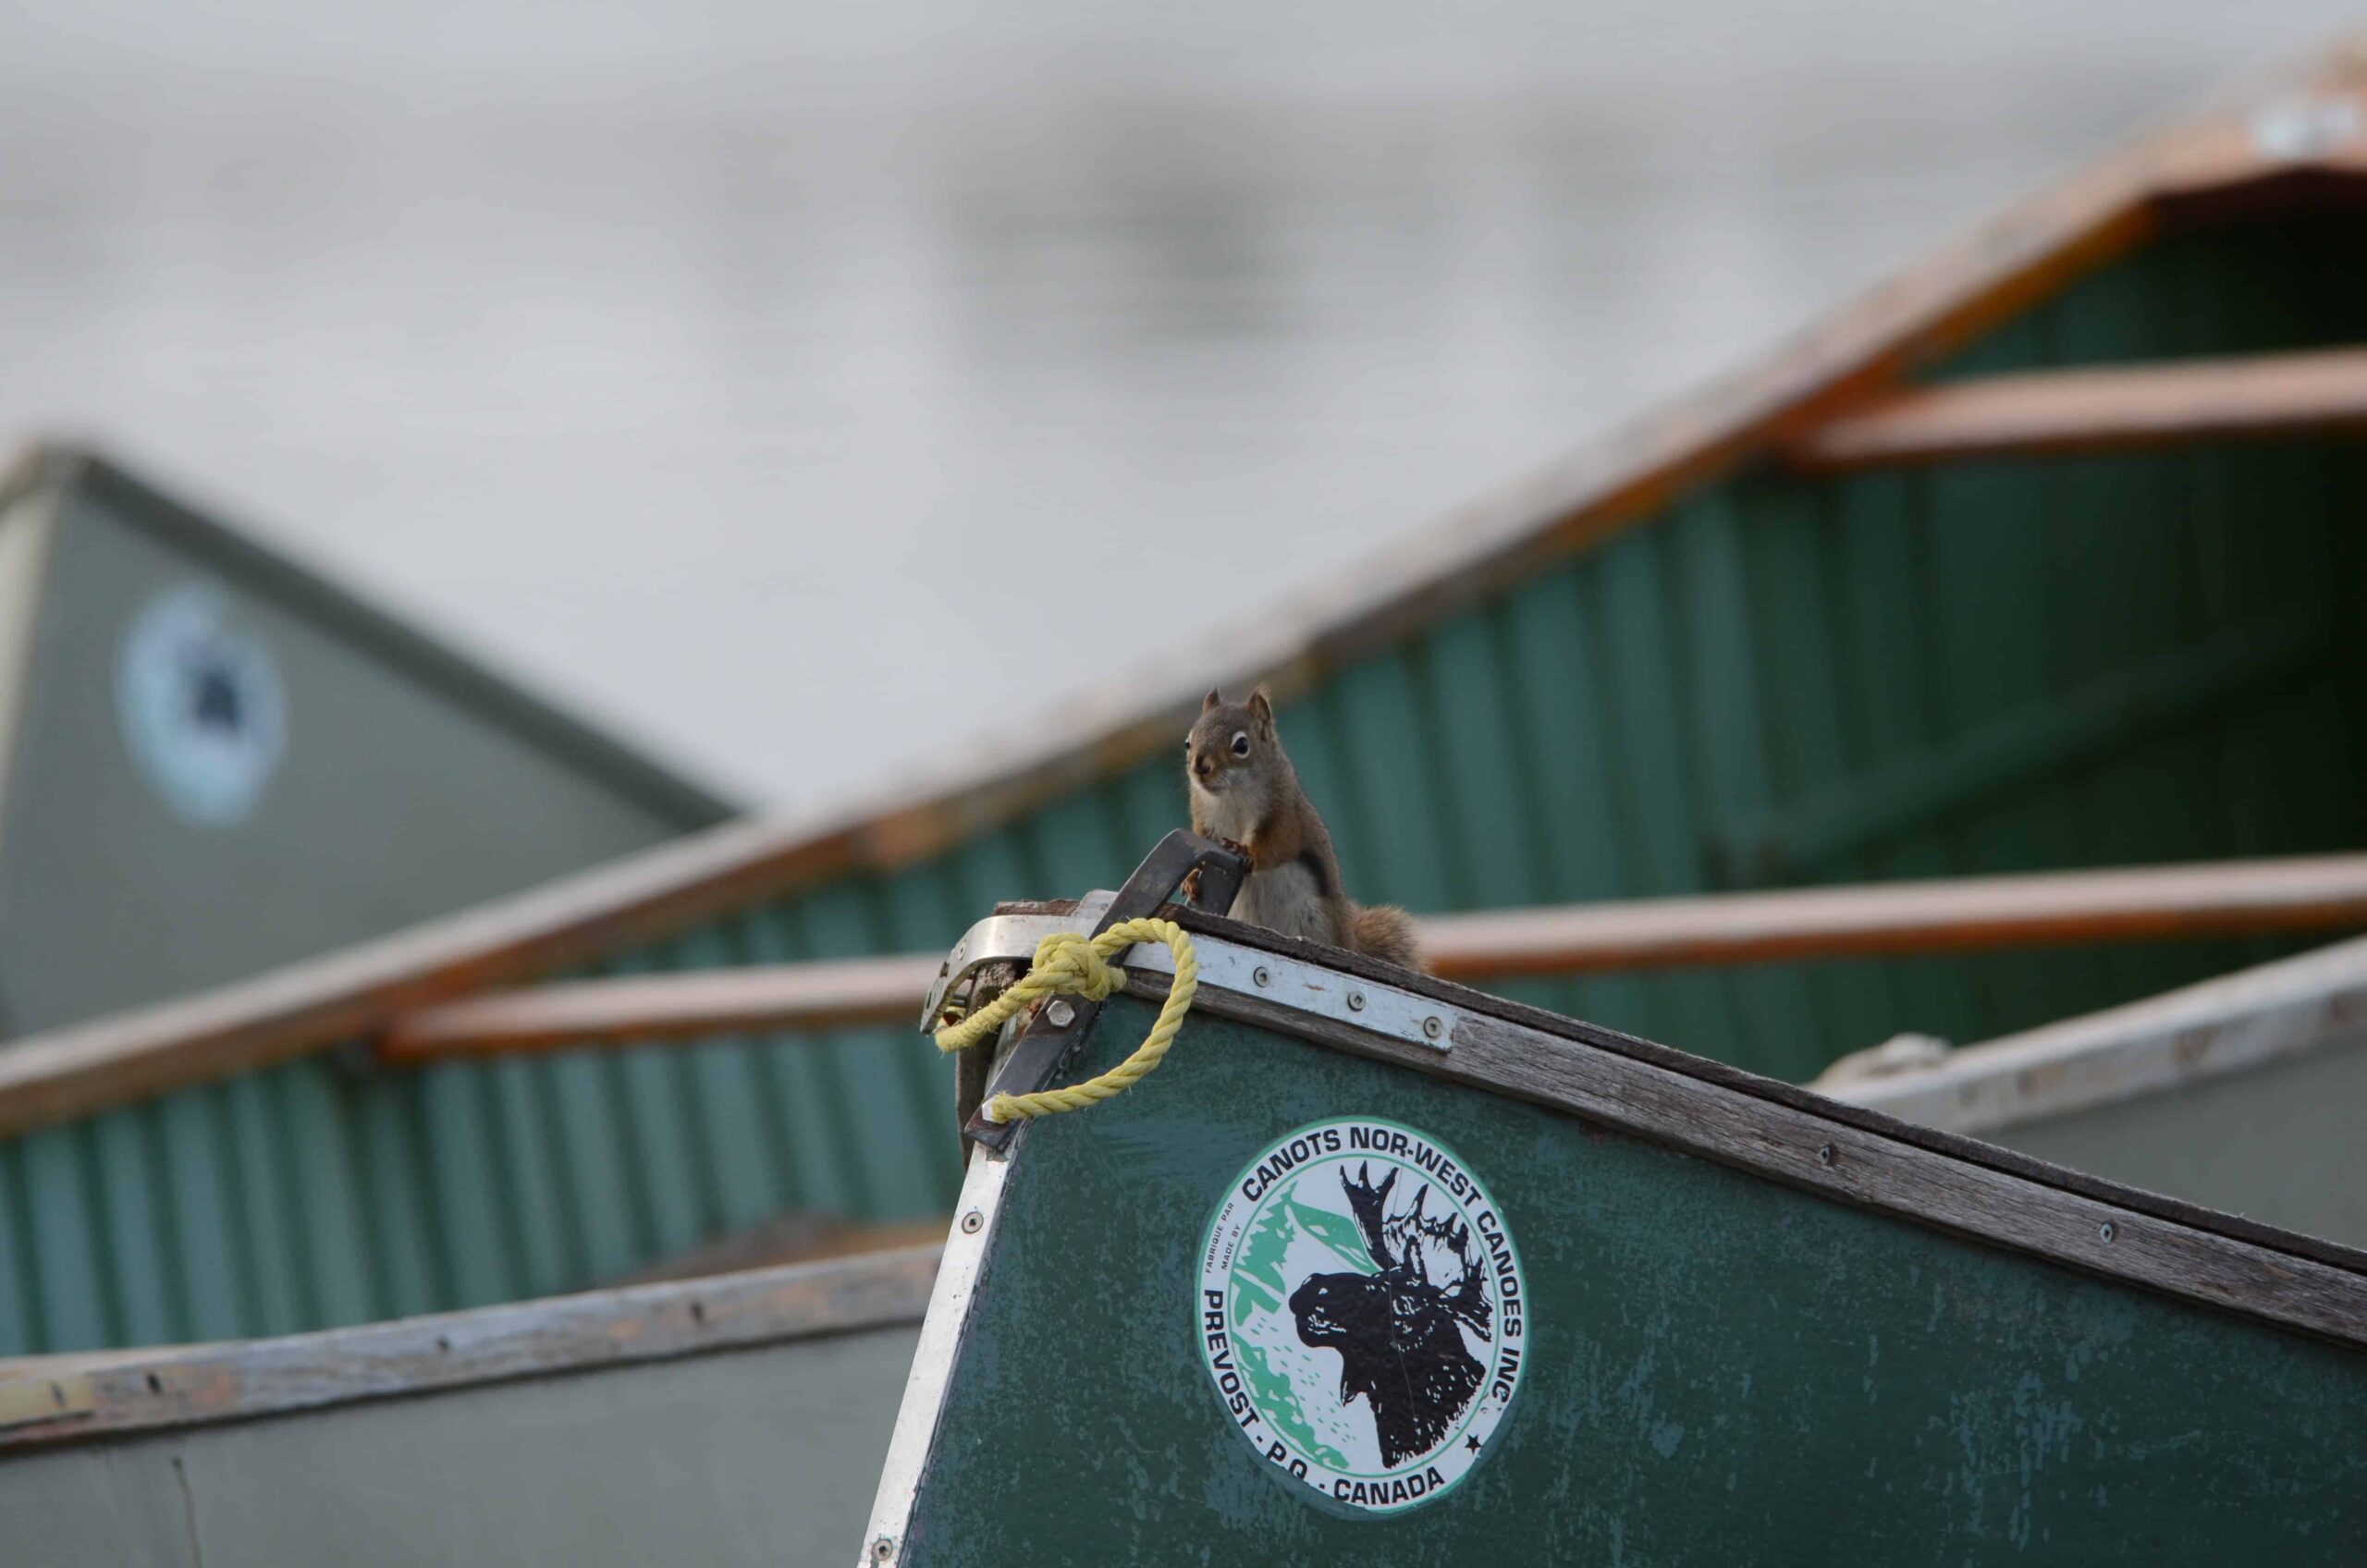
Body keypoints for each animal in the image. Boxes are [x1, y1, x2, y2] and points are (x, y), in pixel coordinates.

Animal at [1185, 686, 1421, 971]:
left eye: (1241, 745)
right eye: (1188, 742)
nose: (1199, 766)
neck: (1232, 796)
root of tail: (1349, 941)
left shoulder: (1285, 813)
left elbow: (1278, 845)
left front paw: (1246, 851)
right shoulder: (1204, 819)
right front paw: (1191, 879)